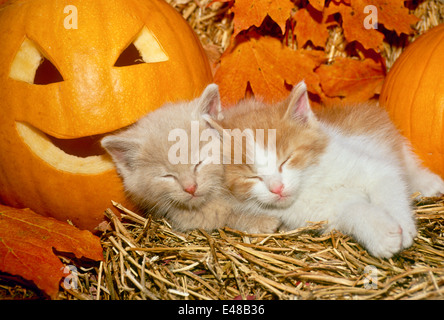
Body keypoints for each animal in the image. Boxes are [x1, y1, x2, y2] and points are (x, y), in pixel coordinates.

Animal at [207, 81, 444, 258]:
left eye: (286, 160)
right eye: (252, 177)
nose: (277, 188)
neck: (310, 183)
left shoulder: (374, 168)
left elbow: (388, 186)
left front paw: (403, 225)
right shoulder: (326, 214)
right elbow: (353, 211)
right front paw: (382, 235)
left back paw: (427, 184)